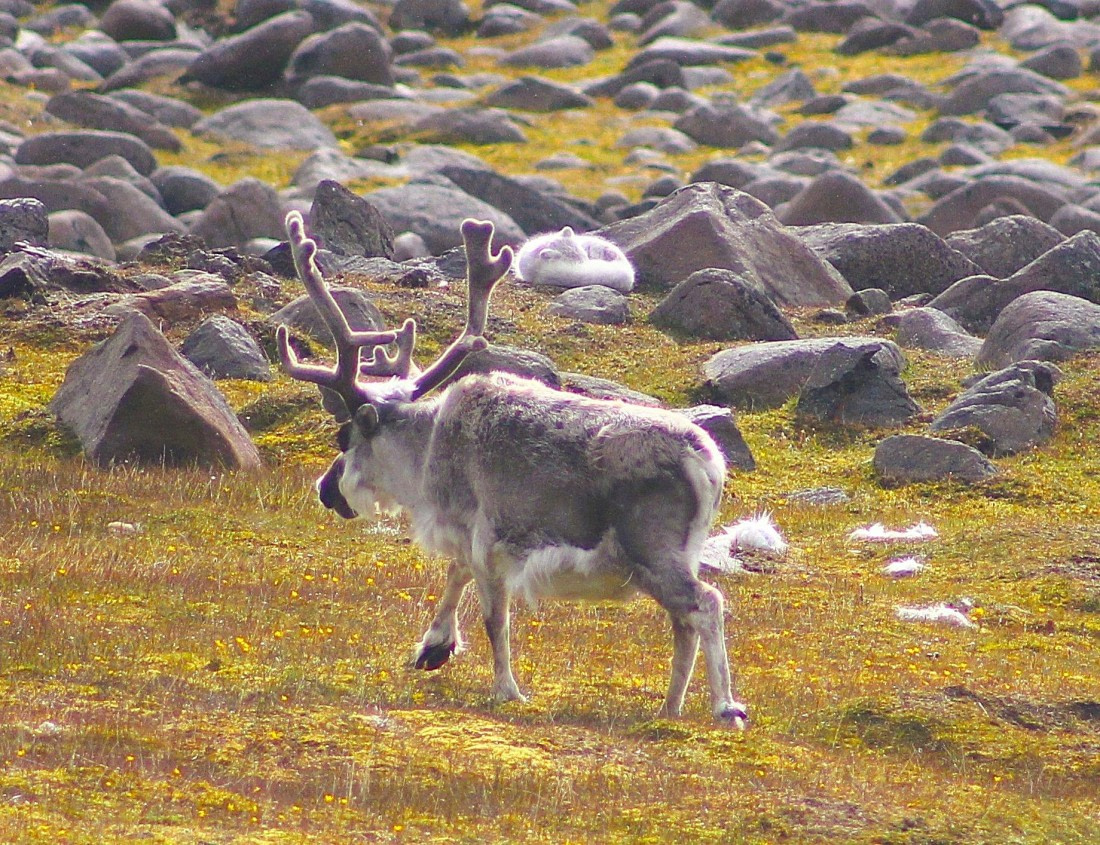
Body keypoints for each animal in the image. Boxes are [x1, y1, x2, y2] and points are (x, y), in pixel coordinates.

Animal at [276, 211, 748, 727]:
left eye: (344, 438)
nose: (325, 488)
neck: (426, 456)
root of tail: (708, 461)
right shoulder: (471, 537)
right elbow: (455, 573)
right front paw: (433, 647)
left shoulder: (487, 538)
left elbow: (492, 617)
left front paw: (506, 689)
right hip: (667, 558)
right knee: (682, 622)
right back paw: (668, 708)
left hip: (652, 549)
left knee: (706, 603)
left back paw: (725, 706)